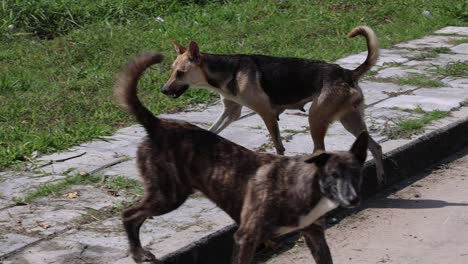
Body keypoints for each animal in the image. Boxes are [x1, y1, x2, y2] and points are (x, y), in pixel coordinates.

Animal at [116, 52, 370, 262]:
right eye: (334, 176)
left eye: (357, 175)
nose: (354, 199)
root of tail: (157, 124)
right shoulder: (245, 237)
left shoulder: (314, 234)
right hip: (169, 194)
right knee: (130, 215)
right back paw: (138, 252)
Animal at [161, 25, 384, 186]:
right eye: (171, 70)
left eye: (180, 73)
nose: (163, 90)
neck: (226, 72)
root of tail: (347, 73)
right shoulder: (231, 112)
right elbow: (212, 130)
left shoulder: (266, 113)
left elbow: (278, 146)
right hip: (350, 120)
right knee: (375, 146)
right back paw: (381, 179)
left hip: (316, 118)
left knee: (321, 150)